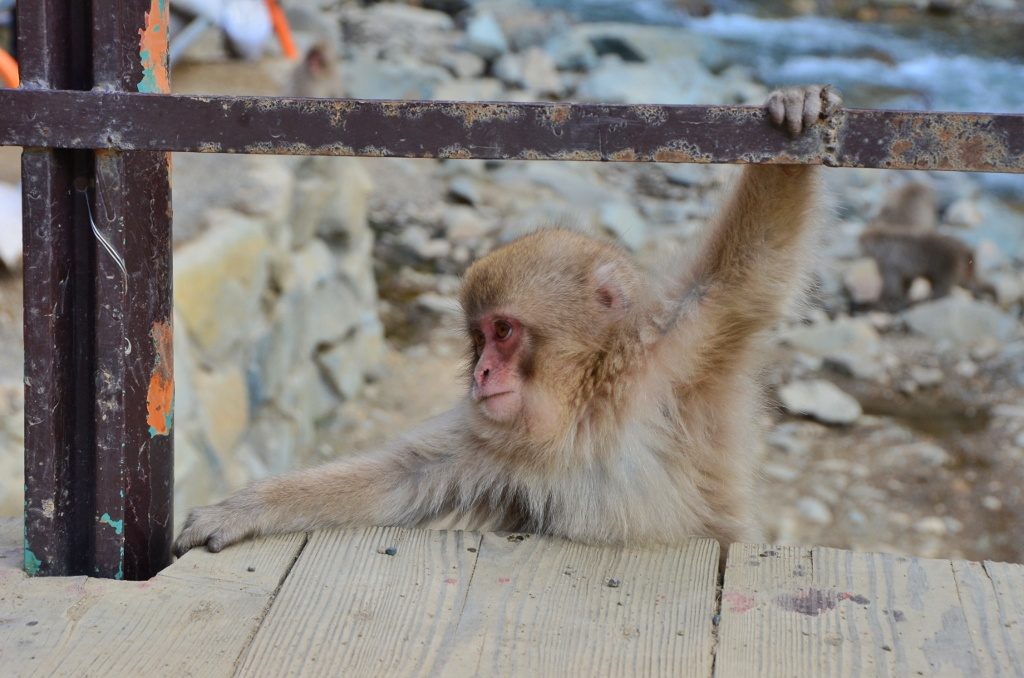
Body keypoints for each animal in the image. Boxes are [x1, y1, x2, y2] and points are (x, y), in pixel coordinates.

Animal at [174, 85, 841, 557]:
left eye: (503, 331)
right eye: (477, 339)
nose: (482, 373)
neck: (585, 408)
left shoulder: (678, 346)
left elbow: (750, 269)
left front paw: (796, 115)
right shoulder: (495, 444)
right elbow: (402, 478)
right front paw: (246, 509)